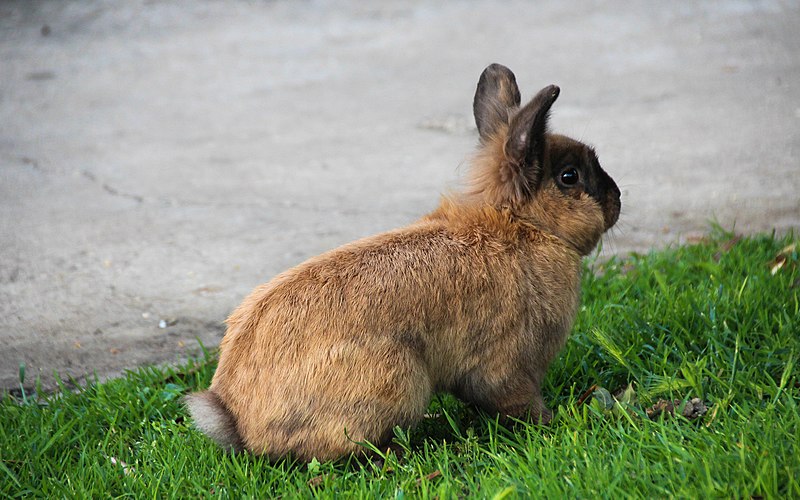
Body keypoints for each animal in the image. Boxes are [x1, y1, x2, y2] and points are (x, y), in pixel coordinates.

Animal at [184, 64, 620, 462]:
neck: (522, 225)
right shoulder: (509, 365)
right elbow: (515, 398)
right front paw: (551, 421)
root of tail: (239, 423)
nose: (616, 199)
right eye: (569, 176)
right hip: (394, 377)